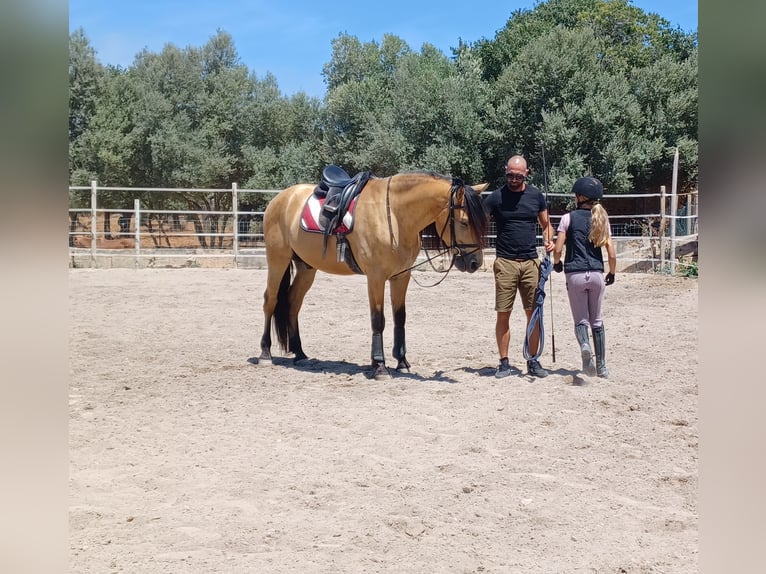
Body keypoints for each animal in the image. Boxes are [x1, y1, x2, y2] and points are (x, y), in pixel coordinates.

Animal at [257, 170, 489, 380]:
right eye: (464, 222)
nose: (475, 262)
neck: (394, 215)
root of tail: (281, 198)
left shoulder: (401, 276)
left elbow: (399, 317)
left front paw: (402, 362)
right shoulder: (376, 277)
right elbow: (378, 320)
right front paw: (379, 365)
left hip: (306, 268)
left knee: (293, 303)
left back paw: (300, 353)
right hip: (277, 260)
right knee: (271, 301)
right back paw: (265, 353)